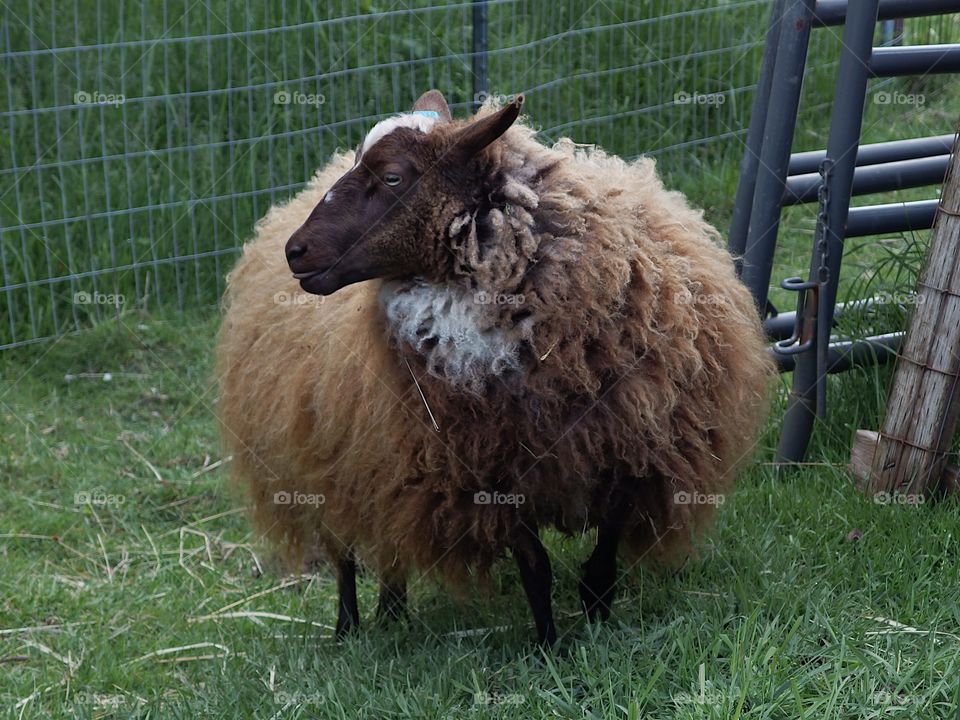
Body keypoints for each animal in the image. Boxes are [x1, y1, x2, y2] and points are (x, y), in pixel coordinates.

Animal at [218, 90, 772, 648]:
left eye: (393, 176)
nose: (296, 252)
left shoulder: (630, 446)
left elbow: (602, 557)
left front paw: (598, 621)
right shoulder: (490, 470)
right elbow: (536, 568)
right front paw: (550, 648)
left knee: (390, 544)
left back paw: (393, 614)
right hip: (325, 459)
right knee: (344, 553)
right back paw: (349, 628)